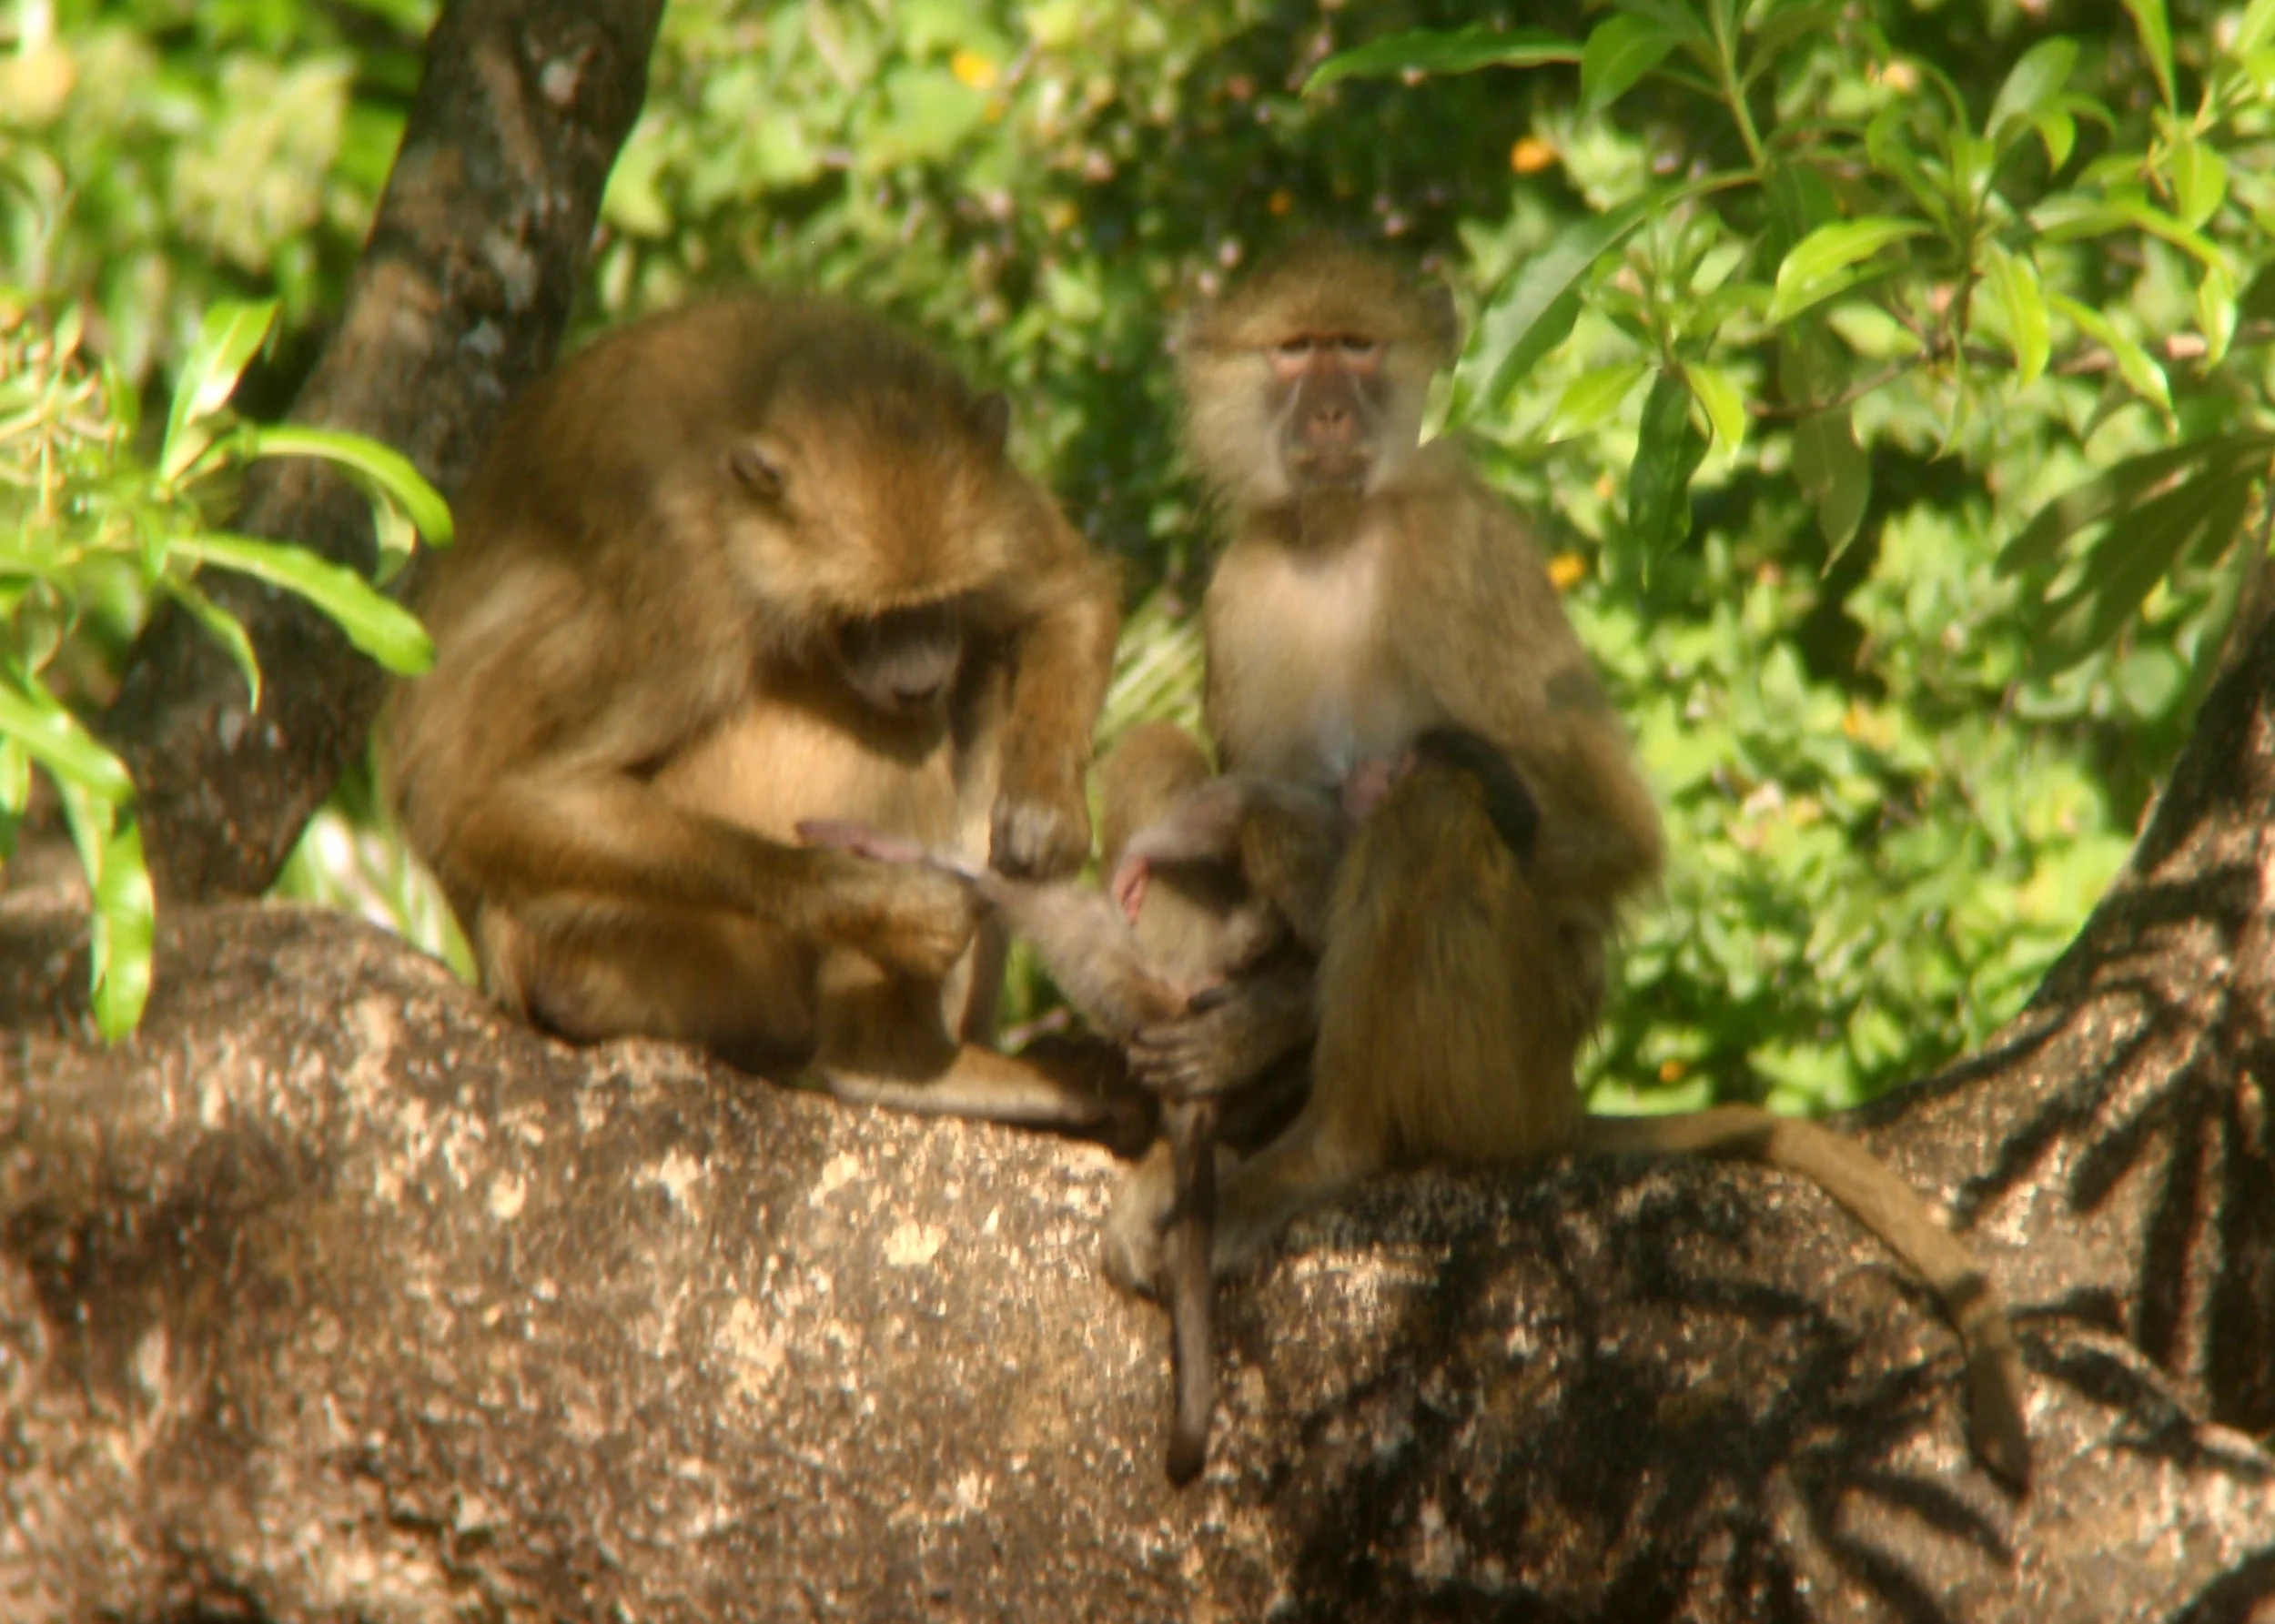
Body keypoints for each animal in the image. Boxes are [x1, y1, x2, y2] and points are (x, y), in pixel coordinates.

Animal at [381, 294, 1137, 1136]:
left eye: (936, 601)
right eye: (862, 618)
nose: (917, 677)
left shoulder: (989, 501)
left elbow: (1064, 592)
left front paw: (1048, 813)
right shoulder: (681, 576)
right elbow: (495, 803)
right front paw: (878, 905)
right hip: (632, 953)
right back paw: (892, 1060)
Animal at [1095, 239, 2032, 1487]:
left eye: (1355, 347)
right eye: (1294, 353)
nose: (1331, 412)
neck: (1338, 534)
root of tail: (1560, 1104)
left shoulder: (1467, 552)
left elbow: (1601, 831)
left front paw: (1254, 1016)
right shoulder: (1240, 590)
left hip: (1501, 1072)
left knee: (1432, 813)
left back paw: (1311, 1156)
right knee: (1159, 755)